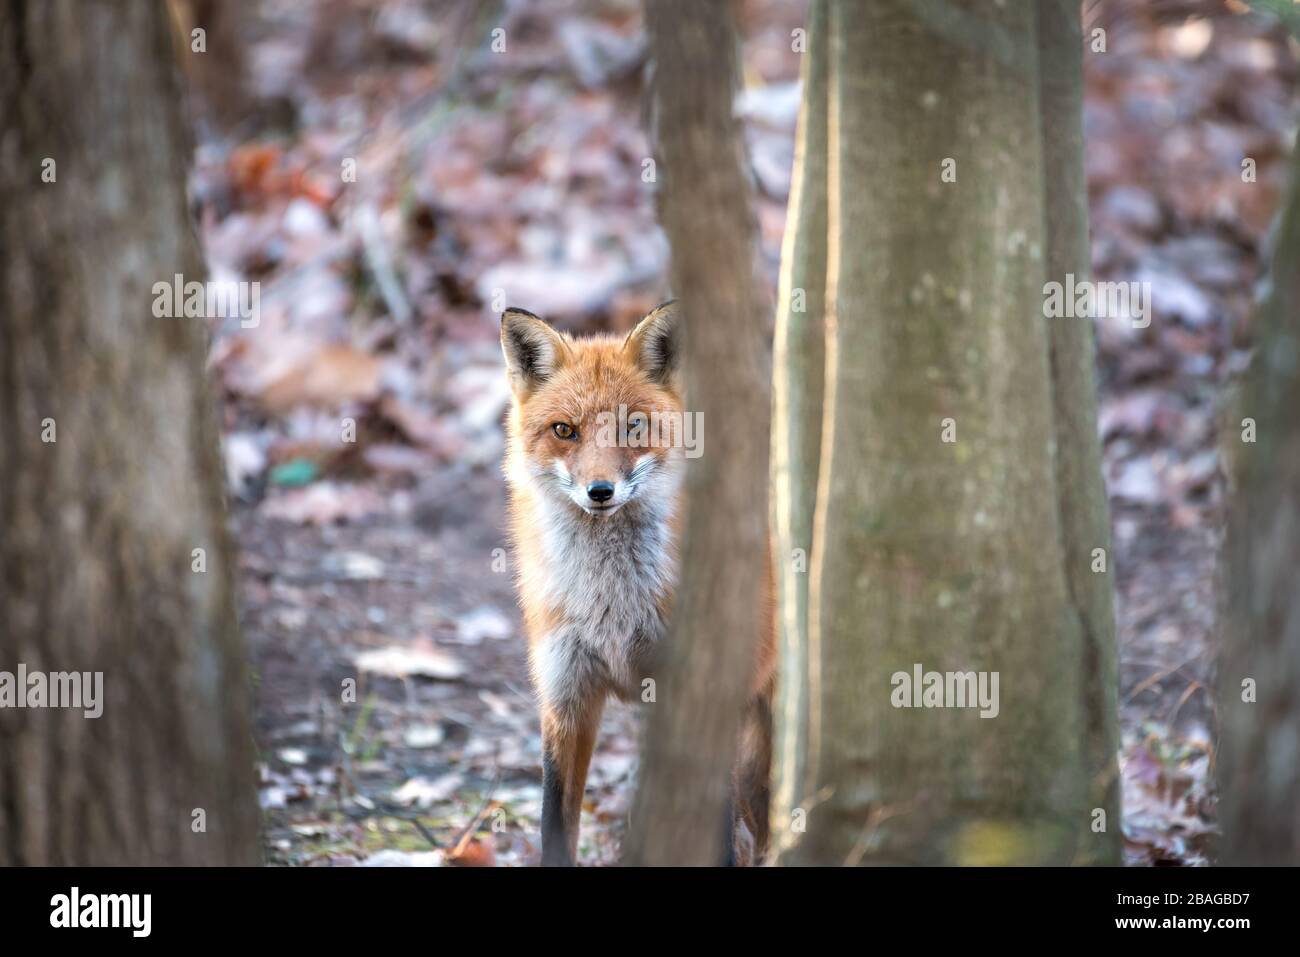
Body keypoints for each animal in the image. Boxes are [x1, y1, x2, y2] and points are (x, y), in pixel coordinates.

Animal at [501, 302, 769, 863]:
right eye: (565, 430)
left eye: (634, 426)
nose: (599, 491)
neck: (612, 606)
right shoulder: (566, 699)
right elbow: (554, 825)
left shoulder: (696, 692)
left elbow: (718, 837)